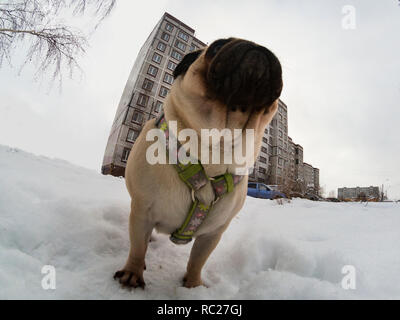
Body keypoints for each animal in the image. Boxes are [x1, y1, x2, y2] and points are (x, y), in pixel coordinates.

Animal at [114, 38, 282, 290]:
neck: (216, 147)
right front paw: (132, 274)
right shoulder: (143, 211)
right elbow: (137, 247)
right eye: (217, 46)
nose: (255, 46)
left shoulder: (213, 233)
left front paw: (193, 286)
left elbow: (198, 260)